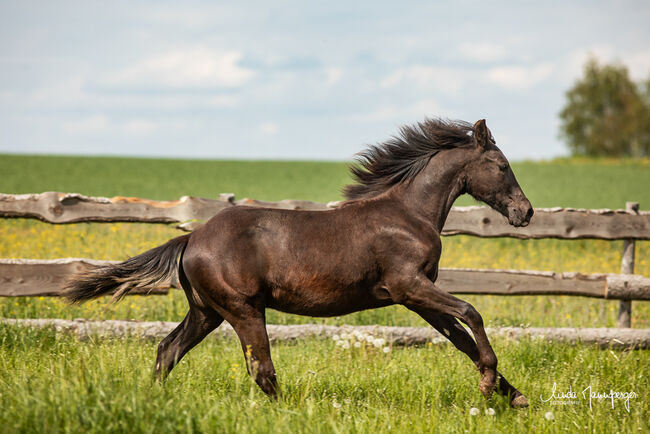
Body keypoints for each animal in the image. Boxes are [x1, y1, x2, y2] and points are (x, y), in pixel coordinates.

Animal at [64, 118, 532, 406]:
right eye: (502, 165)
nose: (524, 212)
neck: (407, 215)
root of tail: (191, 238)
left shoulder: (417, 298)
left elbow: (462, 340)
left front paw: (515, 396)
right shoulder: (409, 286)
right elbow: (471, 313)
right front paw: (490, 384)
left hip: (206, 312)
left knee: (168, 349)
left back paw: (154, 398)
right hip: (243, 310)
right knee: (261, 369)